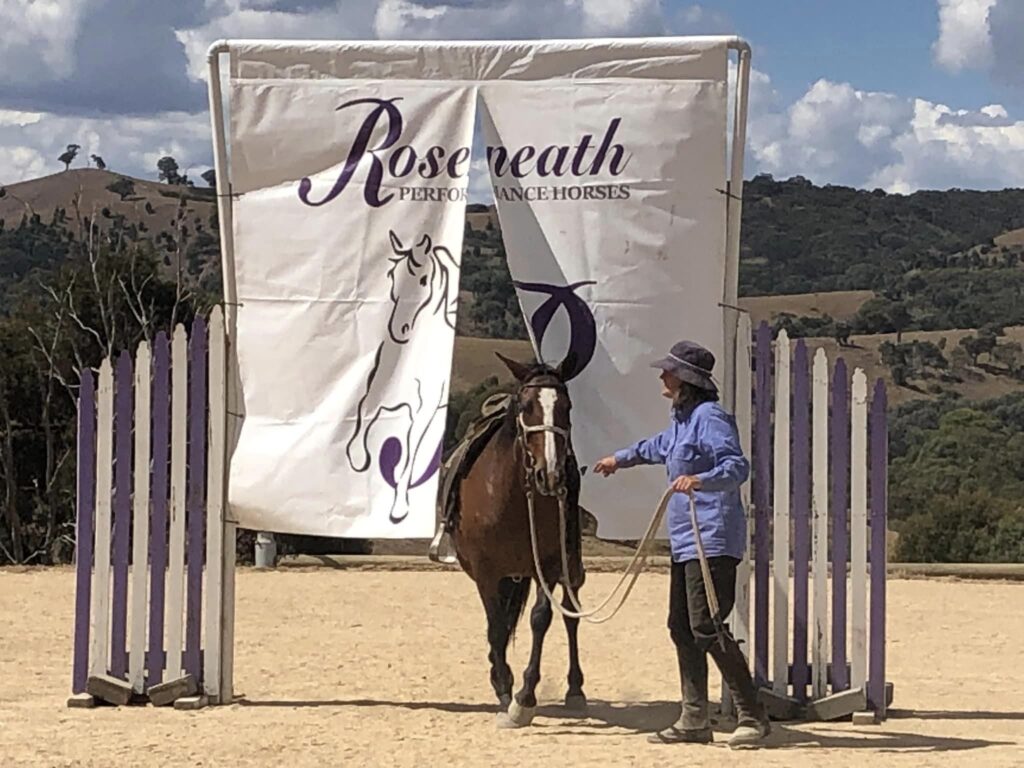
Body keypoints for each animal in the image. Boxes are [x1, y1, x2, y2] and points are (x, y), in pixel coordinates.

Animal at [348, 231, 460, 528]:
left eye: (423, 280)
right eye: (392, 276)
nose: (399, 330)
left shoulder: (425, 408)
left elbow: (410, 452)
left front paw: (399, 507)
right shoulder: (382, 389)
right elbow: (364, 409)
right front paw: (357, 456)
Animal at [452, 352, 589, 729]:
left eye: (567, 407)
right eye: (526, 406)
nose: (551, 474)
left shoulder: (549, 564)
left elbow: (541, 618)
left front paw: (524, 698)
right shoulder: (486, 571)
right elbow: (497, 627)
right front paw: (504, 687)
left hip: (569, 568)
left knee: (571, 615)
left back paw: (575, 689)